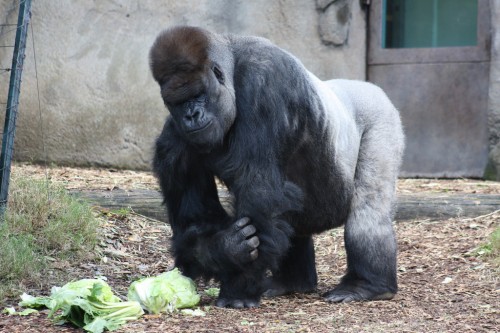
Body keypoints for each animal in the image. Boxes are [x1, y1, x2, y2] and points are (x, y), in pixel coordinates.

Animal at [148, 24, 402, 308]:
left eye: (198, 95)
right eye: (177, 102)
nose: (191, 116)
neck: (232, 68)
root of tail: (366, 86)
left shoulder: (262, 83)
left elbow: (260, 191)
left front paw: (238, 288)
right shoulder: (174, 143)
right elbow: (196, 218)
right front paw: (225, 248)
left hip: (381, 114)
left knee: (368, 209)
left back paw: (368, 285)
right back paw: (292, 282)